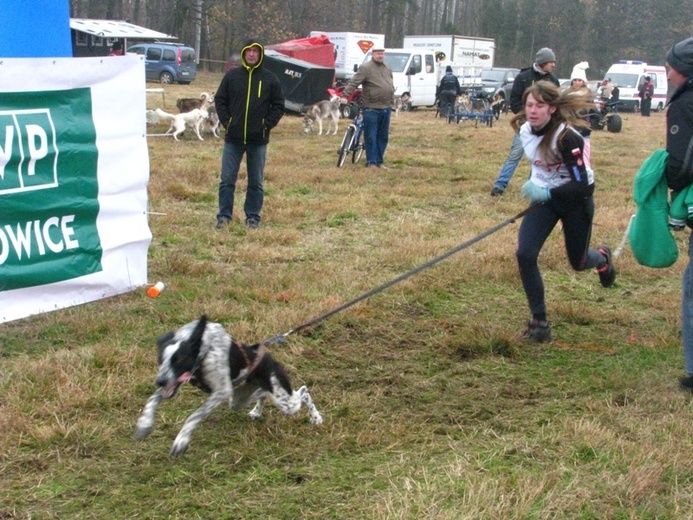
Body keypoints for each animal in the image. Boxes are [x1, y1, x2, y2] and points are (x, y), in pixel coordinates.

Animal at [135, 312, 324, 456]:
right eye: (160, 359)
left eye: (179, 359)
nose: (159, 381)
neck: (205, 349)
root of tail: (267, 355)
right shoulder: (176, 382)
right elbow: (152, 399)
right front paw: (145, 423)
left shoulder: (221, 392)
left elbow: (194, 416)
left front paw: (181, 440)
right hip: (239, 399)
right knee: (263, 394)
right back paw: (257, 411)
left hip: (285, 403)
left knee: (304, 391)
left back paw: (315, 417)